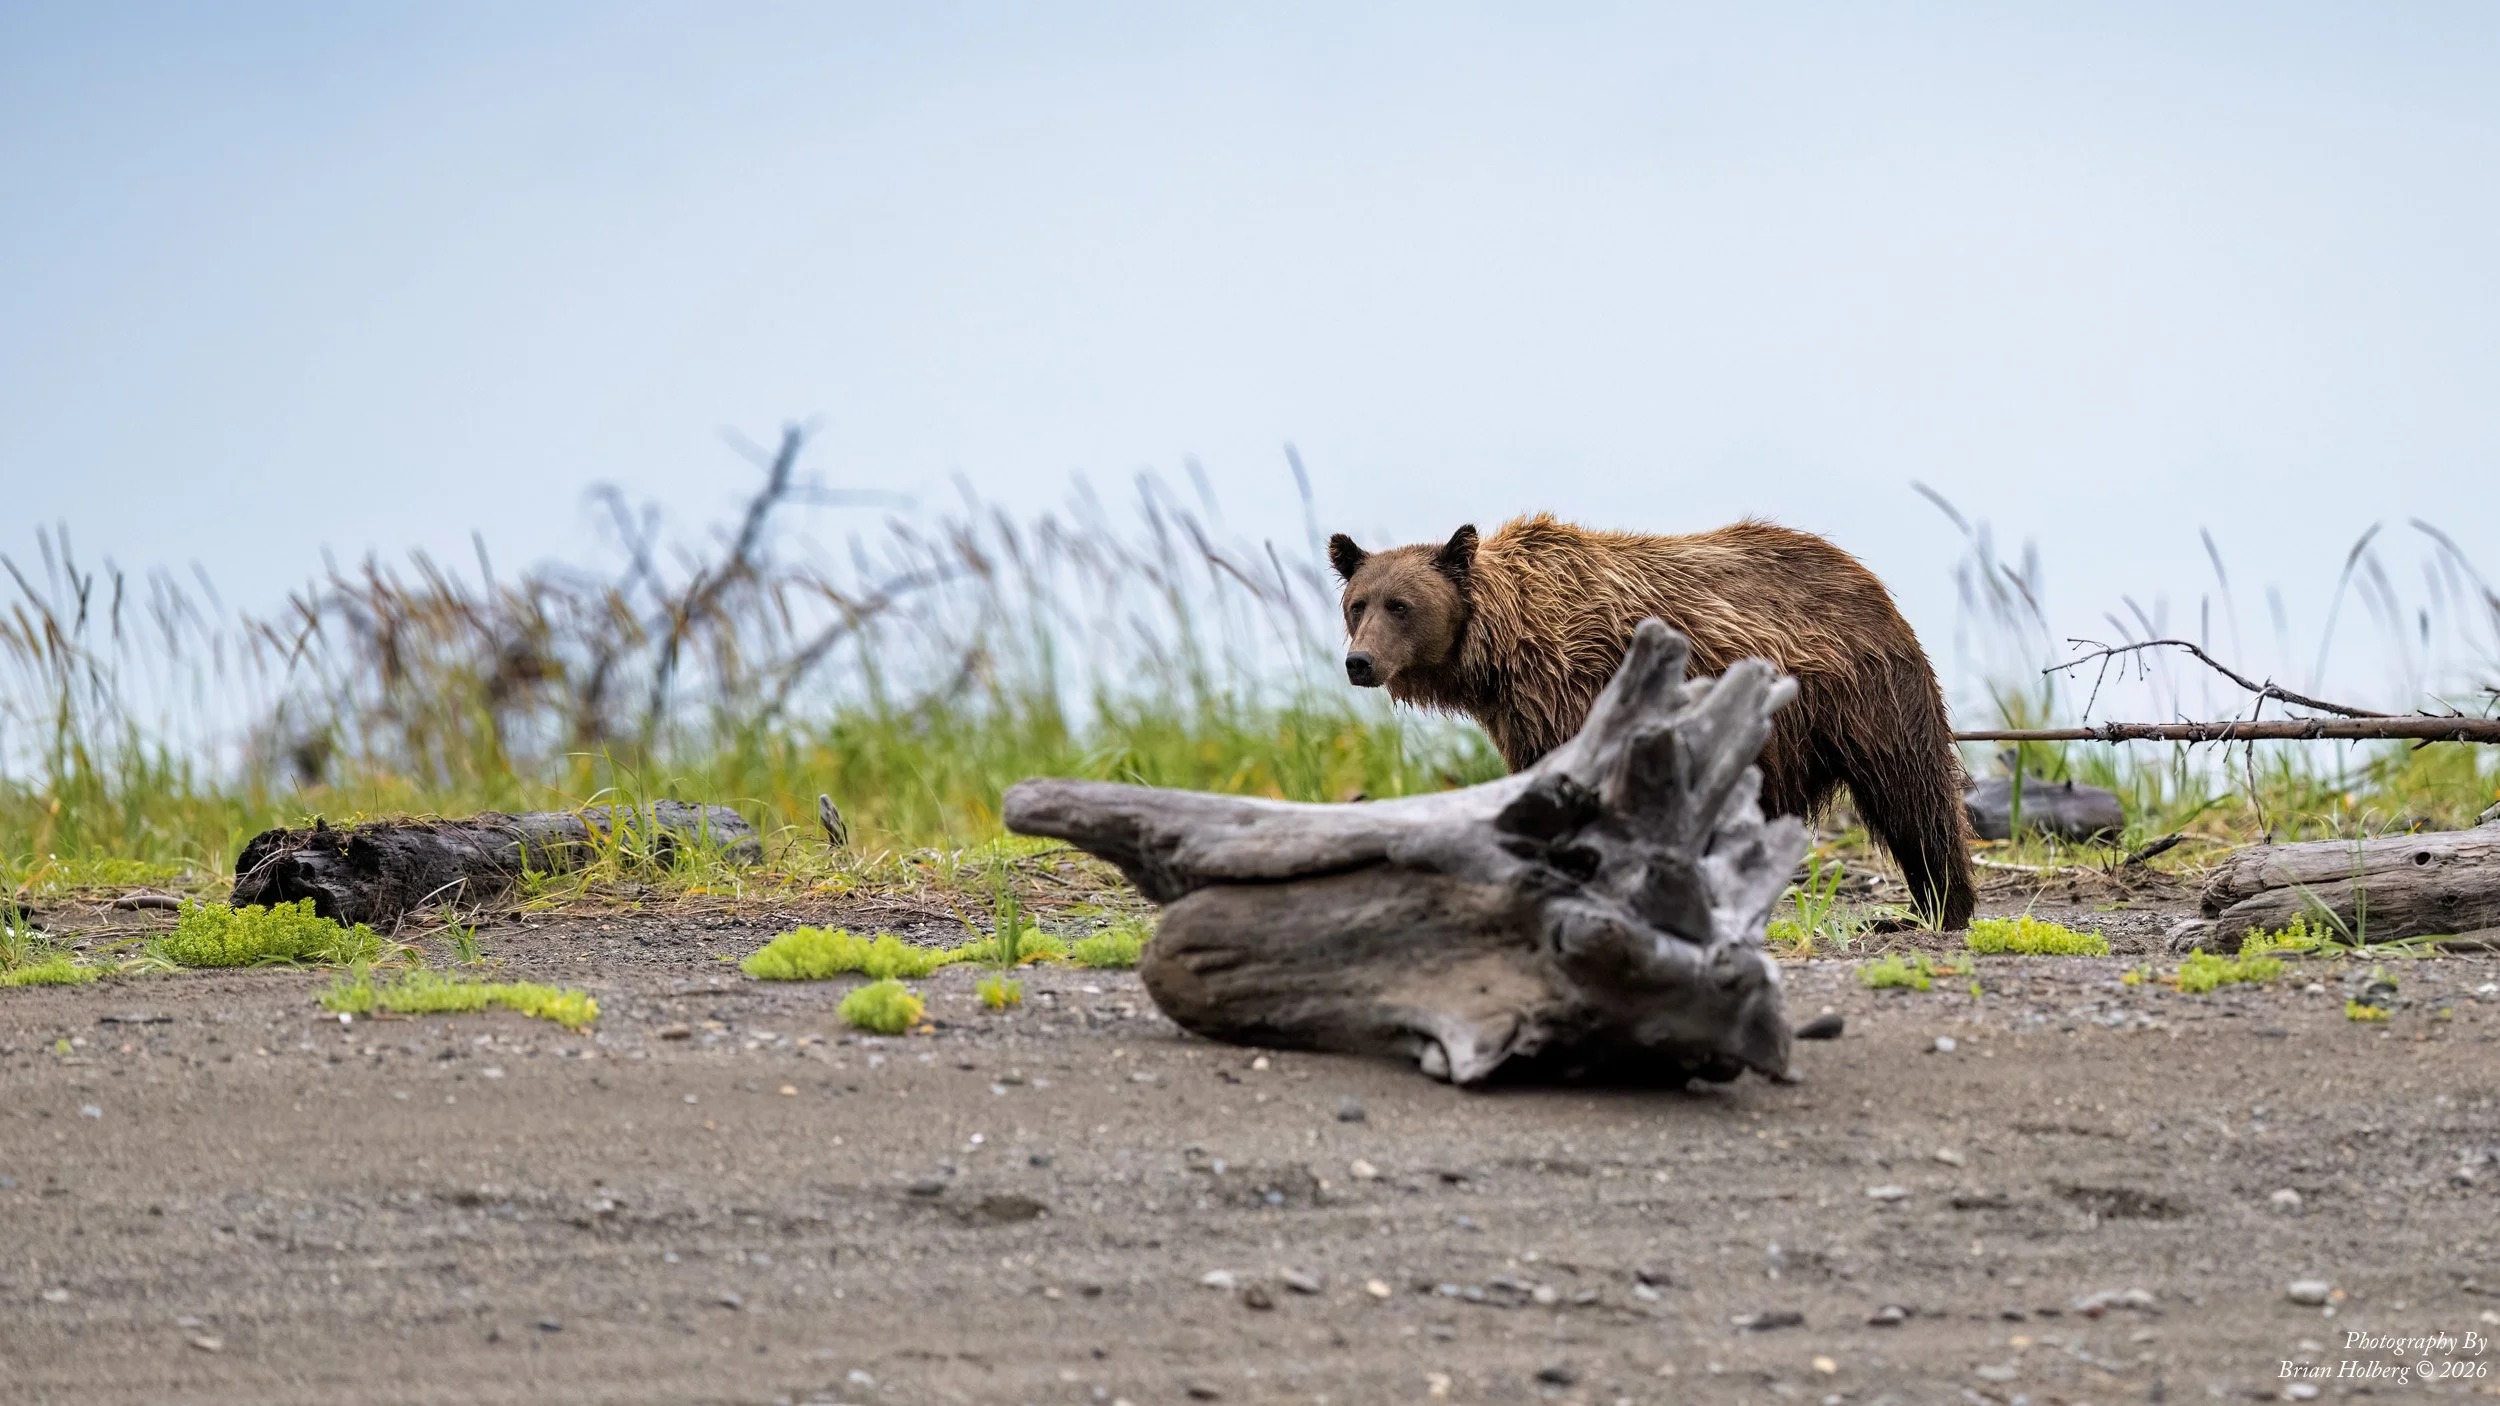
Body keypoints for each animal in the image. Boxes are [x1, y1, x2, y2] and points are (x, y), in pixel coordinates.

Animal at [1328, 513, 1976, 930]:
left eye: (1401, 605)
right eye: (1358, 603)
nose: (1360, 662)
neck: (1505, 649)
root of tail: (1866, 577)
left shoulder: (1581, 686)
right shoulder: (1525, 718)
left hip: (1863, 691)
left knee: (1912, 791)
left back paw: (1944, 904)